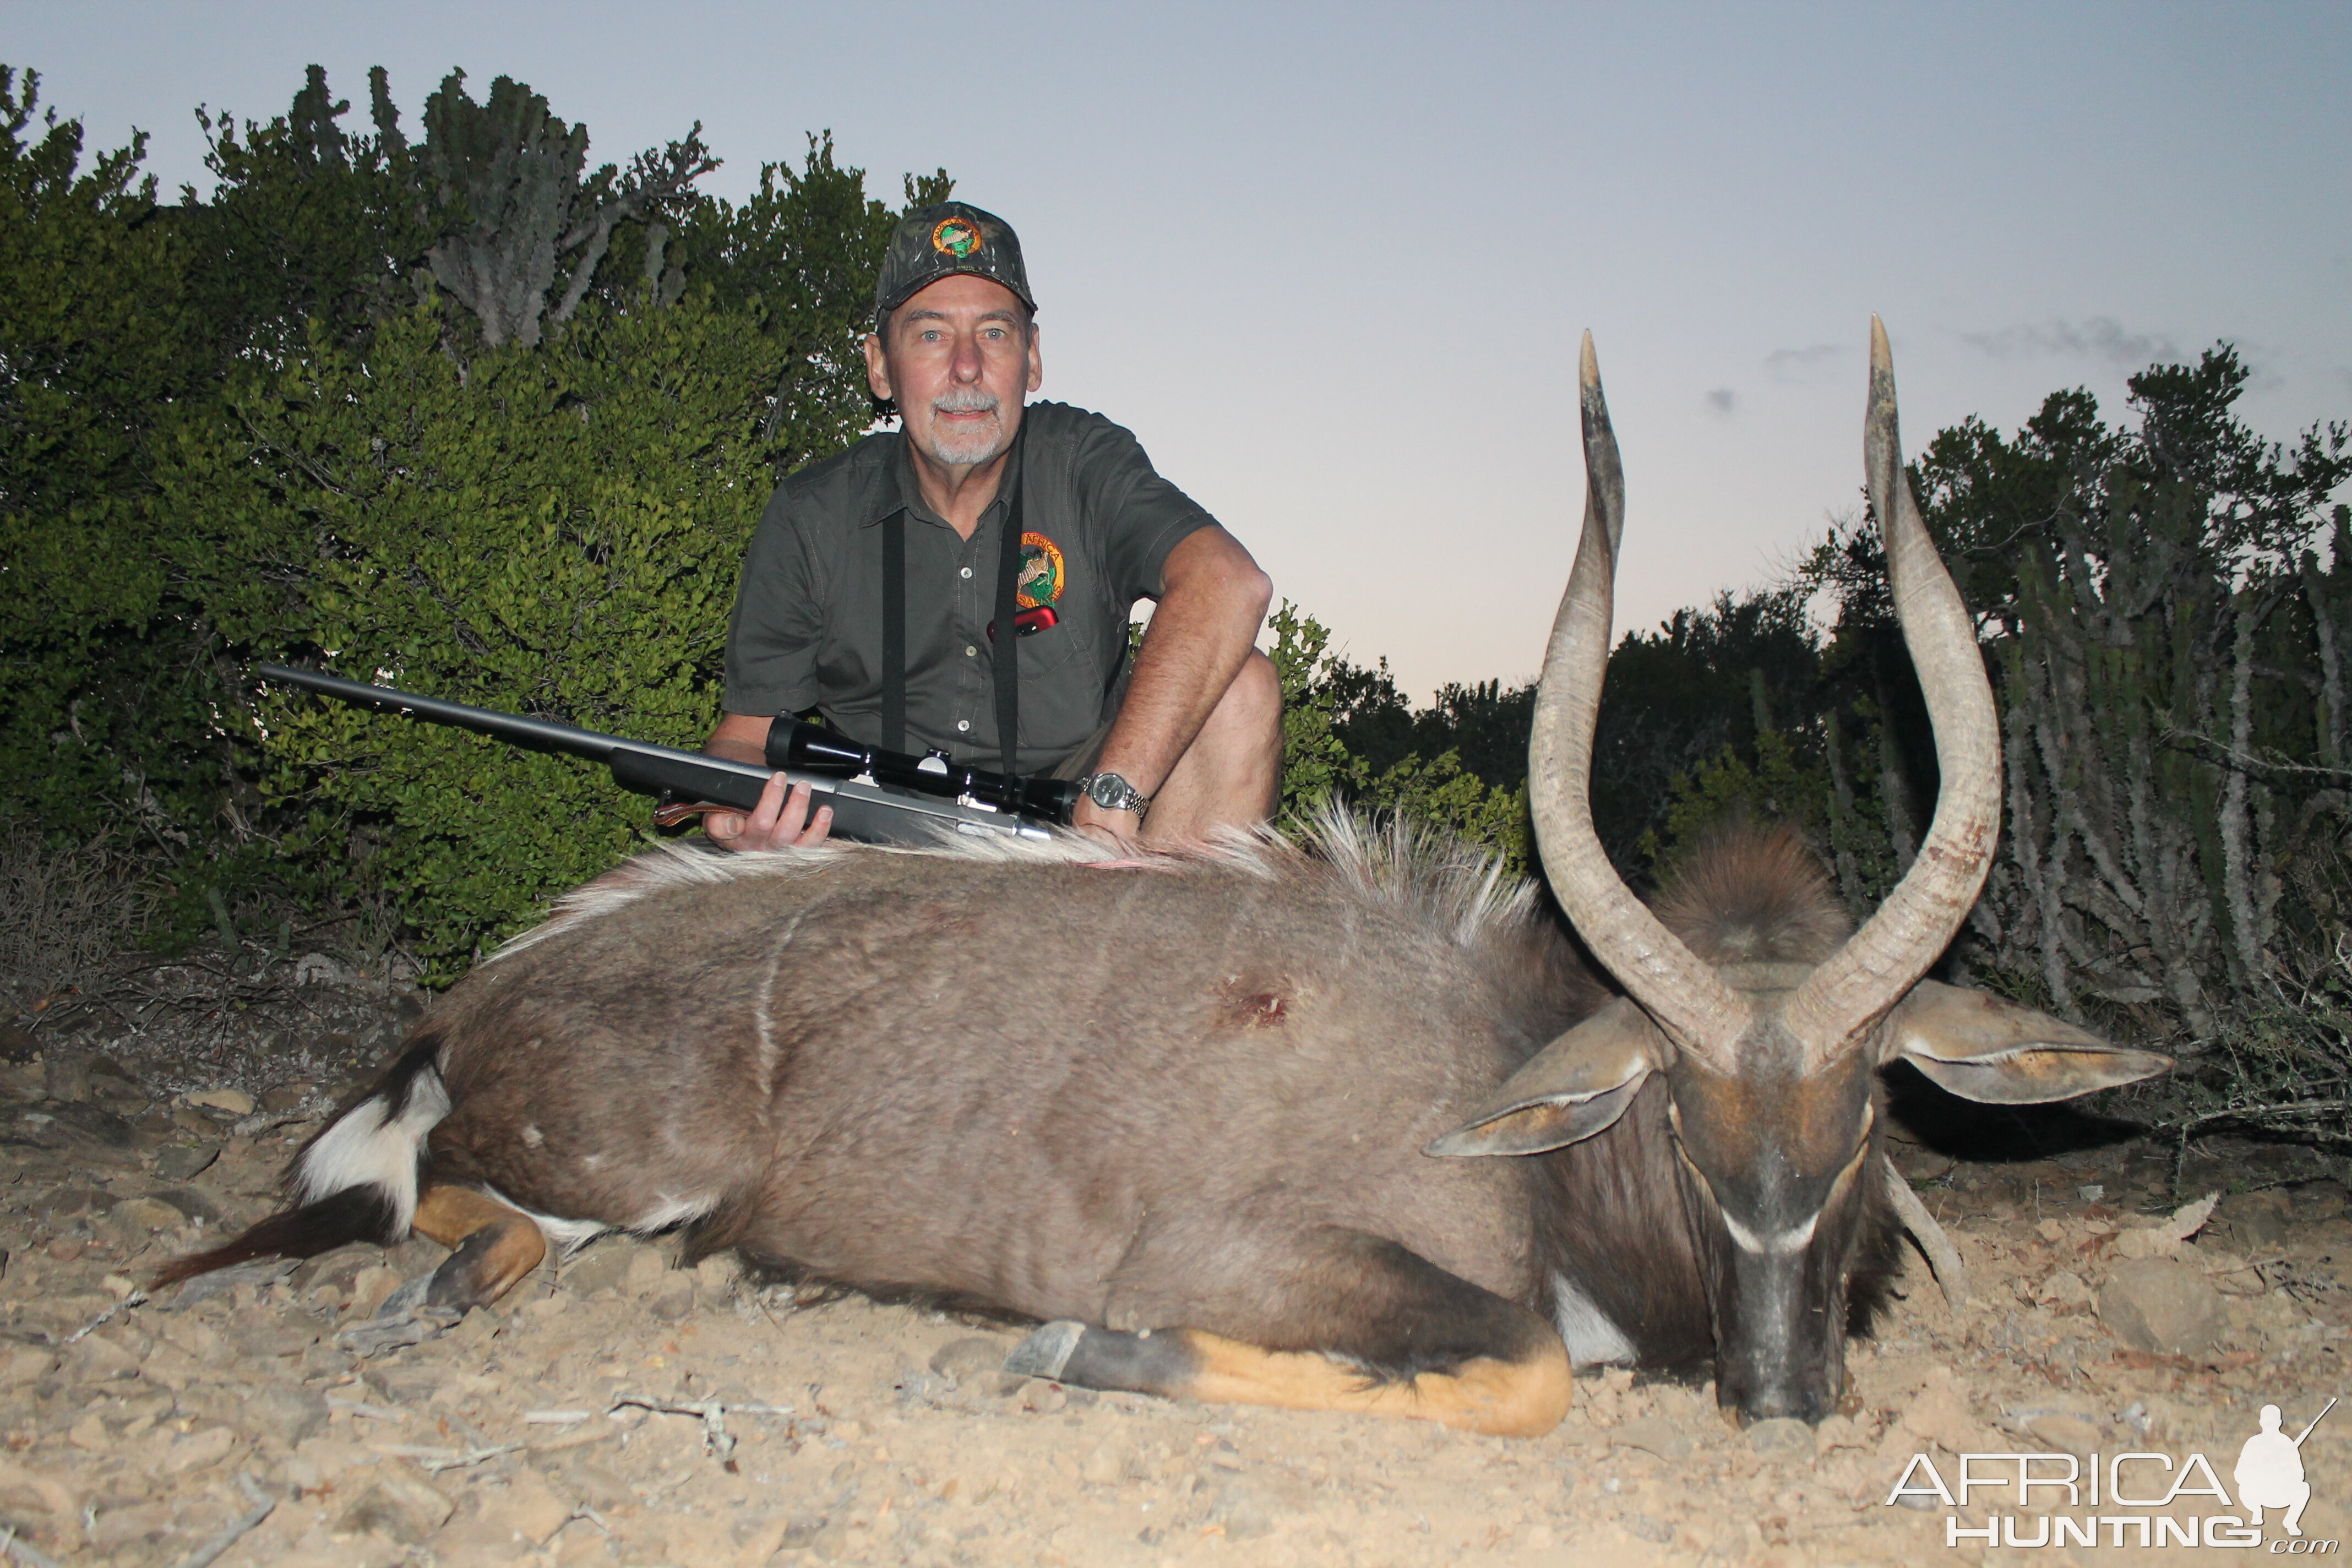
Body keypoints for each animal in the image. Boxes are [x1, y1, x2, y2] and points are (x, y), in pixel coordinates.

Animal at [161, 324, 2164, 1439]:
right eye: (1679, 1113)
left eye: (1873, 1113)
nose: (1778, 1393)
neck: (1505, 1084)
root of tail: (472, 994)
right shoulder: (1248, 1256)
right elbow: (1516, 1362)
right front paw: (1070, 1352)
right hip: (625, 1173)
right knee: (423, 1202)